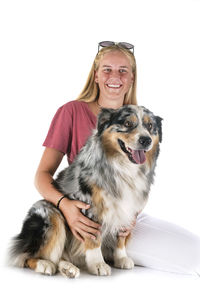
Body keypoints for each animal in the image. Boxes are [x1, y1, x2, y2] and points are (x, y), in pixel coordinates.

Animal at [9, 104, 162, 278]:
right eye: (128, 124)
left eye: (150, 126)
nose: (146, 140)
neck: (123, 167)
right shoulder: (90, 206)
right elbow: (94, 238)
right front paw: (98, 264)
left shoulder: (126, 208)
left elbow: (120, 237)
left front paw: (121, 258)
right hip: (50, 213)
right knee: (28, 256)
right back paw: (44, 264)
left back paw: (68, 268)